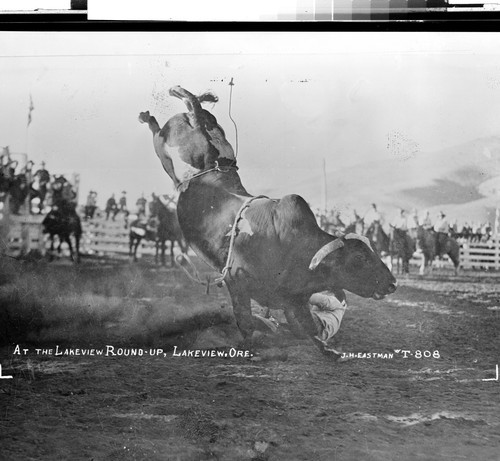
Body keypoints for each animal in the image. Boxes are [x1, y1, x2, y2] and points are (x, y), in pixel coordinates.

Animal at [139, 84, 396, 356]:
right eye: (359, 259)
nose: (392, 283)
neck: (292, 247)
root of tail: (217, 164)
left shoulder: (293, 301)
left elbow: (307, 329)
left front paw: (328, 351)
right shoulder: (236, 281)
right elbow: (246, 322)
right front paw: (249, 349)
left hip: (178, 153)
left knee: (177, 119)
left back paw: (153, 114)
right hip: (177, 145)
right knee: (188, 108)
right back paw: (172, 97)